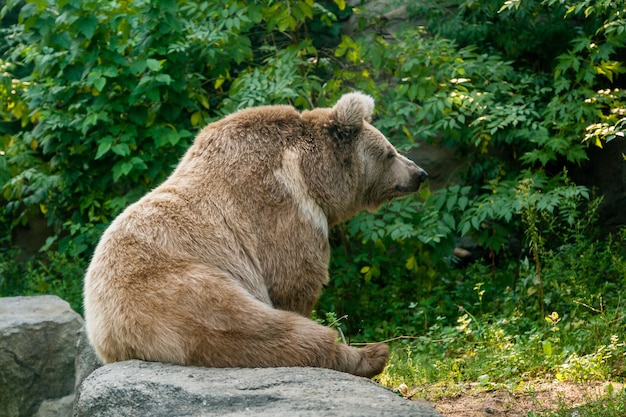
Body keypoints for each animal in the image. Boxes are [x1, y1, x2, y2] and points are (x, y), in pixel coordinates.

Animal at [83, 91, 426, 376]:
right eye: (390, 152)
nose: (419, 174)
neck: (311, 177)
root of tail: (106, 328)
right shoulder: (283, 209)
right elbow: (294, 278)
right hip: (180, 292)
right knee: (261, 330)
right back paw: (372, 354)